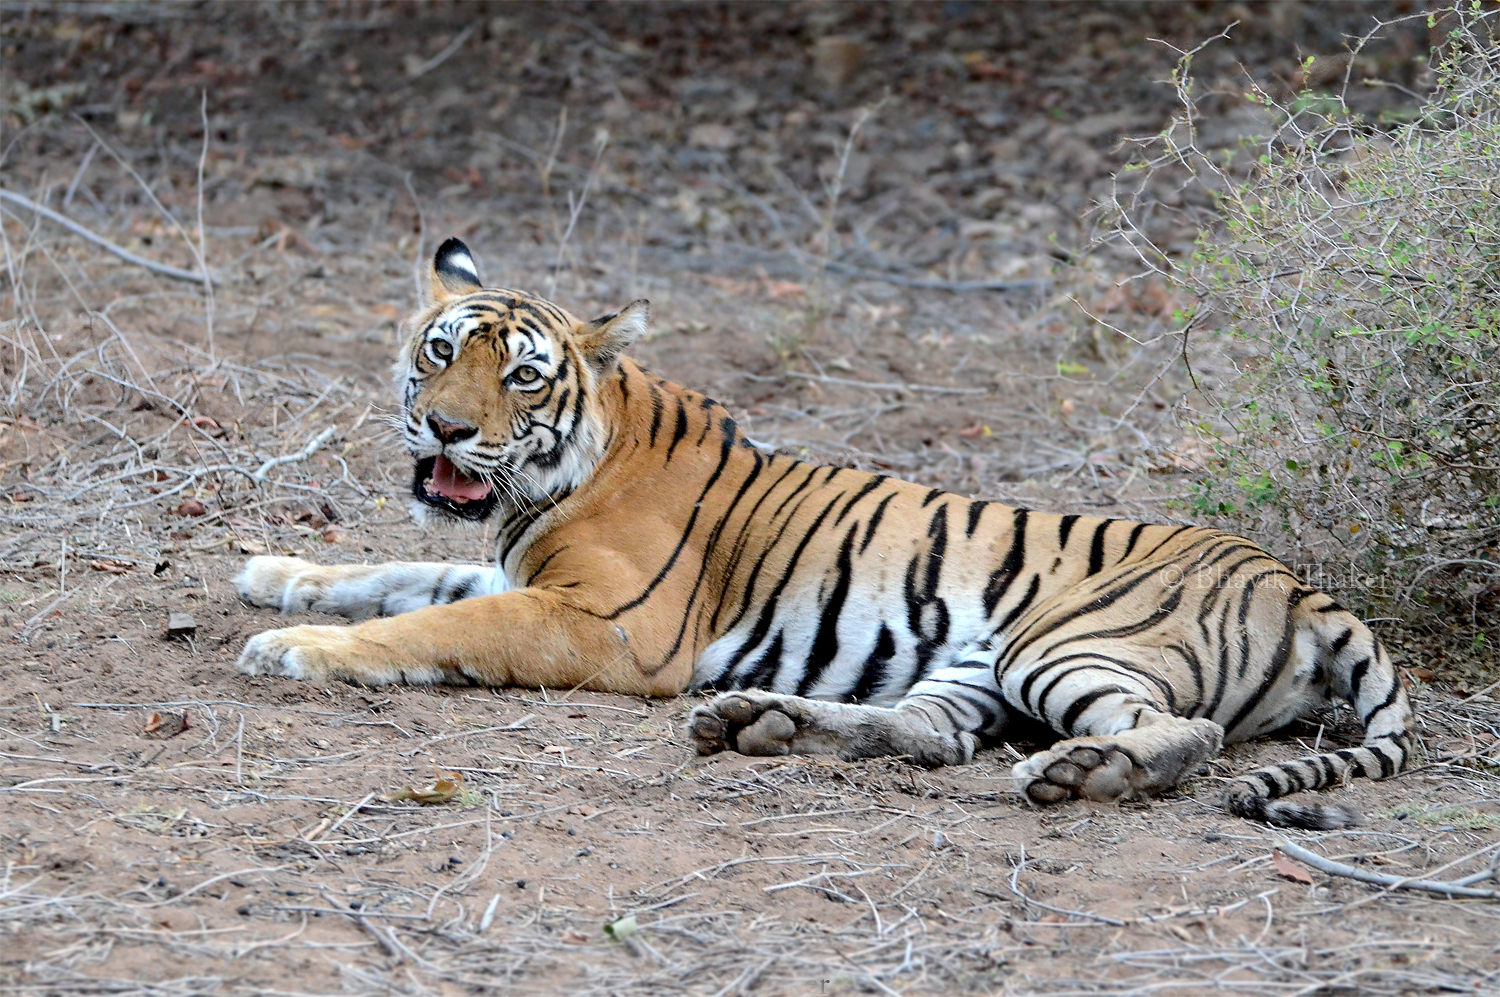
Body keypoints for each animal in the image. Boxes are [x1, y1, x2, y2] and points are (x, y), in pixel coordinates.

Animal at [237, 236, 1416, 827]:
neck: (547, 483)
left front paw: (294, 647)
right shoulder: (517, 574)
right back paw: (758, 724)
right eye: (440, 352)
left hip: (1064, 644)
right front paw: (276, 576)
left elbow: (429, 627)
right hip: (977, 663)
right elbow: (400, 574)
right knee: (930, 735)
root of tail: (1294, 579)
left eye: (521, 375)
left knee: (1186, 733)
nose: (445, 426)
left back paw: (1083, 774)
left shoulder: (609, 626)